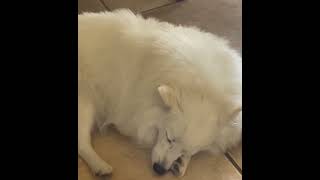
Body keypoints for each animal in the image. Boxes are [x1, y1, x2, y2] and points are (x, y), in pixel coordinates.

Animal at [79, 9, 241, 177]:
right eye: (169, 138)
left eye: (187, 150)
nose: (160, 169)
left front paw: (182, 163)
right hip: (85, 103)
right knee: (81, 142)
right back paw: (100, 166)